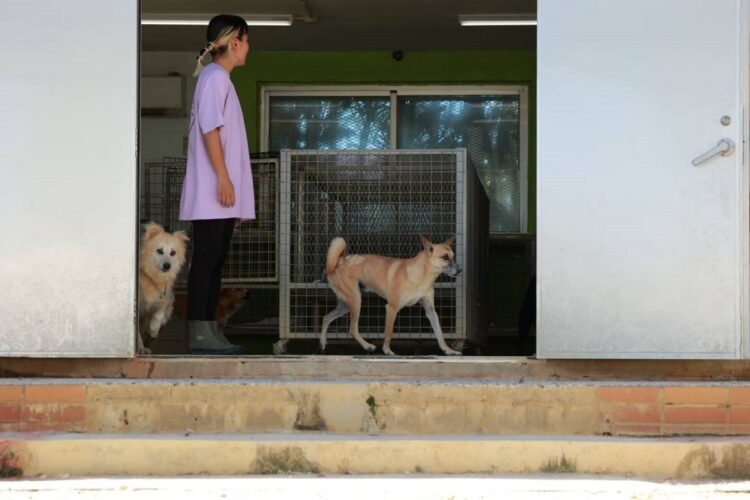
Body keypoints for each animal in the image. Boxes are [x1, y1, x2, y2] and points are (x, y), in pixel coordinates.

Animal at [140, 221, 189, 354]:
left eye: (173, 253)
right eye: (159, 251)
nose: (167, 266)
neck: (155, 279)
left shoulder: (167, 299)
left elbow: (160, 313)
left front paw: (153, 328)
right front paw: (140, 347)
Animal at [320, 235, 462, 356]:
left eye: (453, 256)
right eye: (444, 257)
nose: (460, 270)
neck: (423, 276)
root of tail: (339, 260)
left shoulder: (431, 311)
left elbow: (439, 333)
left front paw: (448, 351)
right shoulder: (392, 308)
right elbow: (389, 332)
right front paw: (387, 350)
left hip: (346, 304)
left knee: (327, 317)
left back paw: (322, 342)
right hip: (355, 300)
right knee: (352, 329)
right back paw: (368, 346)